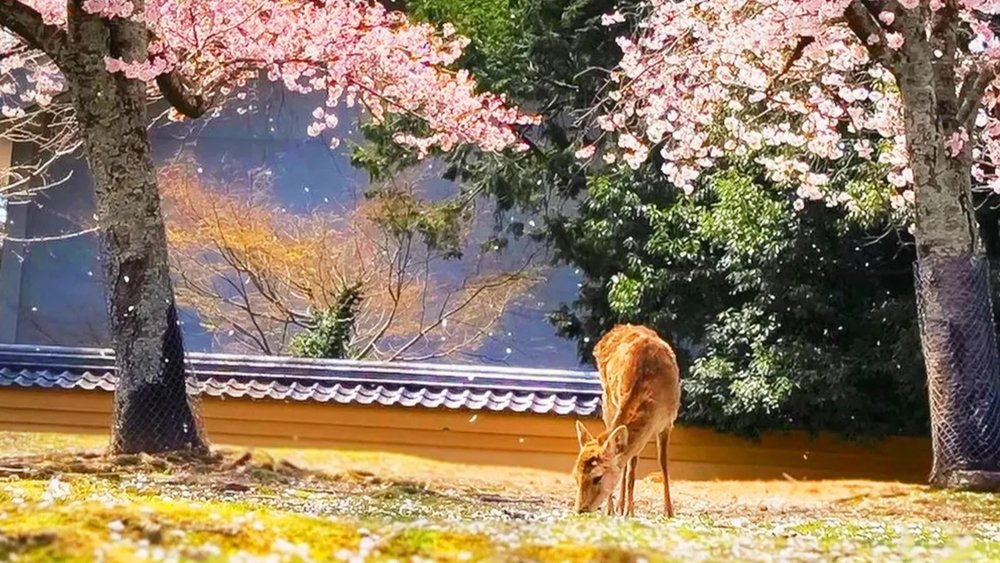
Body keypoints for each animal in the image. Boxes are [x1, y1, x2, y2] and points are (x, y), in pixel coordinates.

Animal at [572, 324, 681, 518]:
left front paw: (668, 512)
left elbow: (662, 463)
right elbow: (631, 465)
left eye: (597, 477)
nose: (580, 510)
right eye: (575, 476)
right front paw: (627, 510)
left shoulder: (668, 422)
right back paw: (615, 507)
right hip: (607, 401)